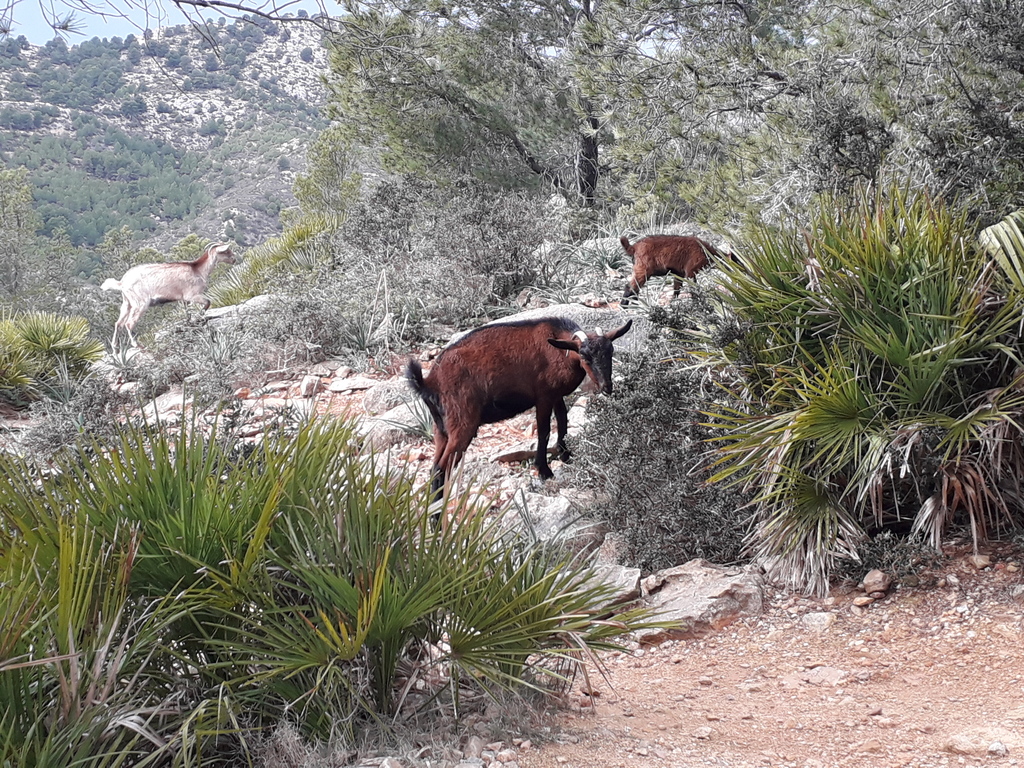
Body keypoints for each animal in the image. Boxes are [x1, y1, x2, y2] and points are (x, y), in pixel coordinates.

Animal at [101, 242, 236, 349]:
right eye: (226, 251)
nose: (234, 259)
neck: (198, 270)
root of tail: (122, 283)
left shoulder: (184, 300)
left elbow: (188, 313)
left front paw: (189, 323)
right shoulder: (192, 295)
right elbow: (208, 302)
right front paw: (200, 317)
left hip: (127, 303)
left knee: (118, 323)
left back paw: (115, 347)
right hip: (140, 303)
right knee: (129, 323)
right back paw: (136, 344)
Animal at [407, 316, 633, 502]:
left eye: (611, 352)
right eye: (585, 356)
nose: (607, 387)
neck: (560, 349)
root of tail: (429, 382)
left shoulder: (555, 394)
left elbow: (562, 420)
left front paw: (565, 454)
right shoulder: (543, 395)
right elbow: (544, 430)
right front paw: (544, 470)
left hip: (440, 429)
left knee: (434, 468)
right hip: (462, 424)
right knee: (441, 469)